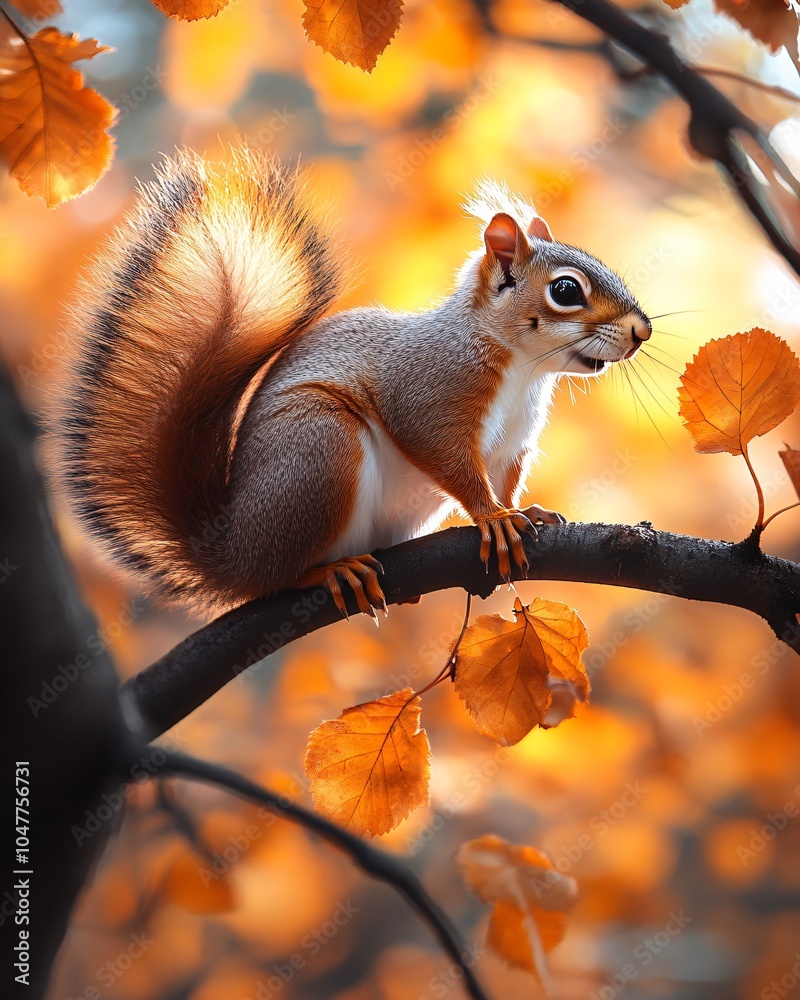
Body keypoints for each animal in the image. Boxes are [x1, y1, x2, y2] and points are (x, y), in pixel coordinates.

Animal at [52, 146, 651, 619]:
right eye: (566, 290)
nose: (641, 331)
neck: (524, 369)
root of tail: (230, 551)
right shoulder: (429, 390)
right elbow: (447, 455)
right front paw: (493, 518)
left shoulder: (513, 442)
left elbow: (505, 476)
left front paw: (521, 511)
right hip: (320, 450)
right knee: (276, 576)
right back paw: (327, 572)